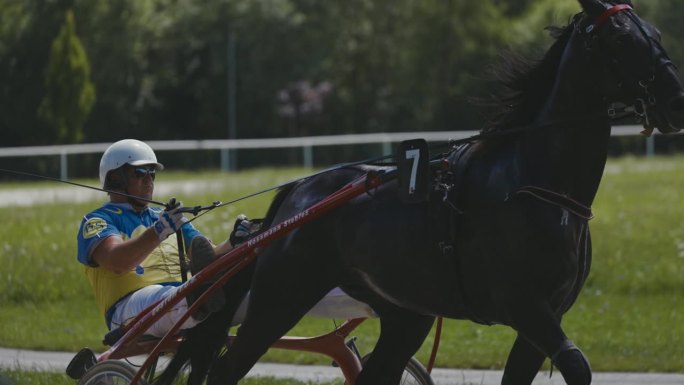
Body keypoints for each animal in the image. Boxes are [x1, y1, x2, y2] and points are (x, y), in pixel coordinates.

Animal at [156, 0, 684, 384]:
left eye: (656, 33)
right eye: (621, 38)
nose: (676, 99)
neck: (533, 183)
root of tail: (295, 196)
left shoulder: (543, 317)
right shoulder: (525, 307)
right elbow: (577, 365)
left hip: (404, 313)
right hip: (282, 295)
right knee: (227, 368)